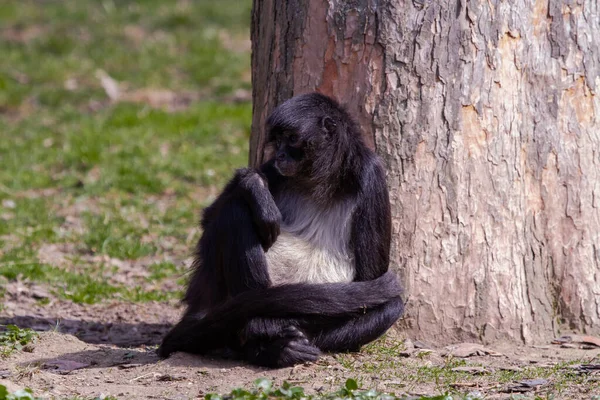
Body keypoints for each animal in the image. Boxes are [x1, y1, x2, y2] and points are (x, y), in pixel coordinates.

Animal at [159, 93, 404, 368]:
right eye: (277, 141)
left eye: (292, 139)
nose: (281, 155)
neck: (319, 182)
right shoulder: (275, 171)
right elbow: (208, 218)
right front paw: (256, 188)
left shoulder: (371, 174)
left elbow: (371, 278)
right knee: (235, 210)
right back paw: (265, 337)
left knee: (390, 306)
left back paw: (279, 343)